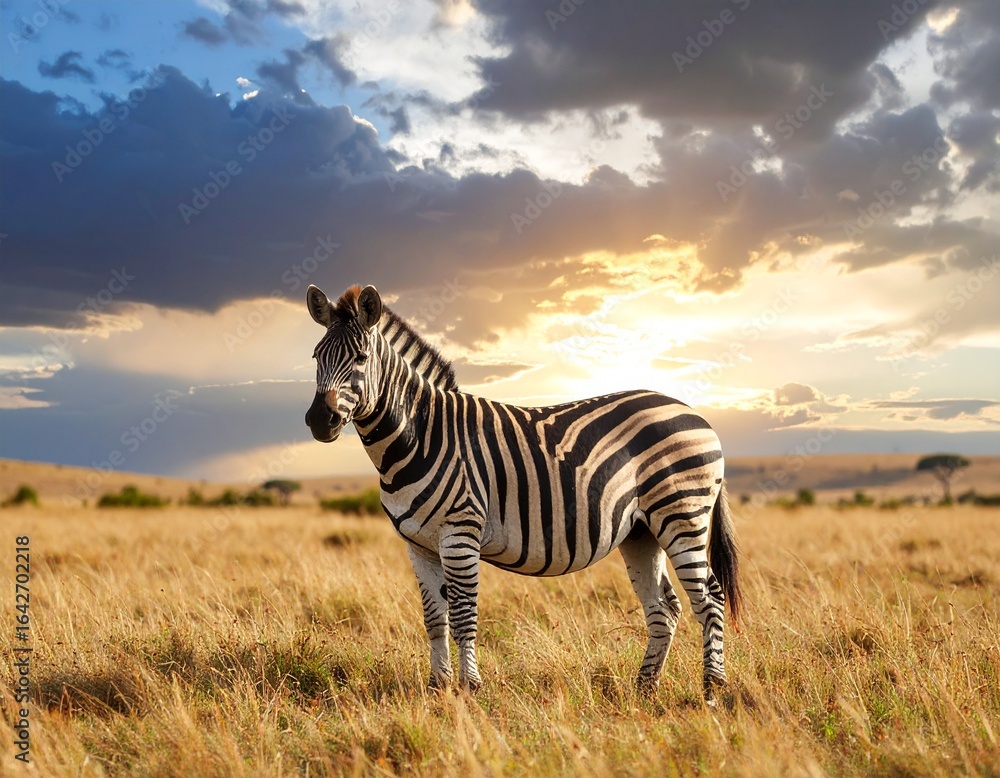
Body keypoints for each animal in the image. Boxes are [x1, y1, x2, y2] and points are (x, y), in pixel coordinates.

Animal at [304, 284, 742, 702]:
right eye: (315, 357)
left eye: (361, 358)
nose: (320, 421)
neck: (421, 434)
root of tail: (694, 412)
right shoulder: (418, 545)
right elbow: (434, 618)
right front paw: (437, 687)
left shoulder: (460, 533)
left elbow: (463, 615)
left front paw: (469, 688)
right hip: (641, 531)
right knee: (664, 607)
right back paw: (645, 689)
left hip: (681, 514)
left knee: (710, 599)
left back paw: (712, 689)